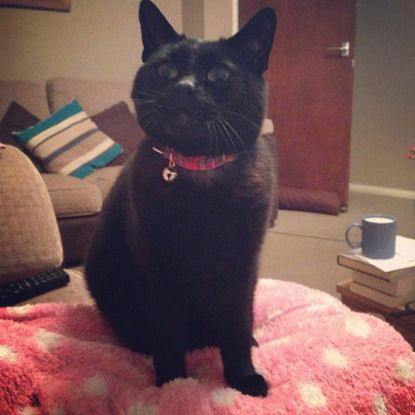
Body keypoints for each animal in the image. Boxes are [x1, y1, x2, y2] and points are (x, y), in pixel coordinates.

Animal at [85, 0, 276, 400]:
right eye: (167, 70)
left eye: (218, 73)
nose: (185, 87)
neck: (200, 174)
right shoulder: (159, 269)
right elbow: (168, 333)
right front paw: (173, 383)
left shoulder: (241, 268)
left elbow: (236, 326)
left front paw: (243, 378)